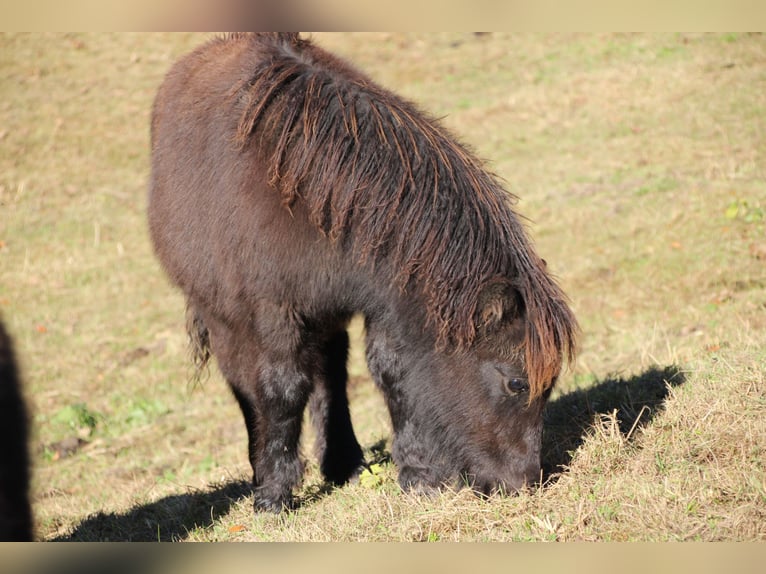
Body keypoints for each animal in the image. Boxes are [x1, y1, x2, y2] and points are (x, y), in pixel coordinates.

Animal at [148, 32, 576, 512]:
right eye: (517, 383)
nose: (523, 483)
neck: (313, 195)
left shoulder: (384, 303)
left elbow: (392, 374)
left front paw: (420, 477)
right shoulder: (272, 314)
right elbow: (280, 389)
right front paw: (274, 495)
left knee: (328, 373)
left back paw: (343, 463)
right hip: (225, 318)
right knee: (246, 384)